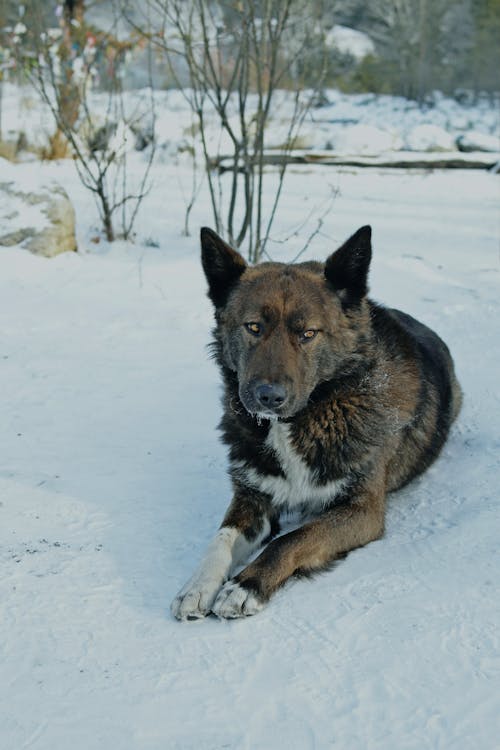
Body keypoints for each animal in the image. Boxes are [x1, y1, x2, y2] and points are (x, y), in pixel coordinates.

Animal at [171, 225, 460, 624]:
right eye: (253, 327)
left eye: (307, 333)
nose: (269, 397)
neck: (305, 418)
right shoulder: (253, 496)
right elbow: (221, 538)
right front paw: (198, 586)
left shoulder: (361, 510)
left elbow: (292, 538)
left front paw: (246, 585)